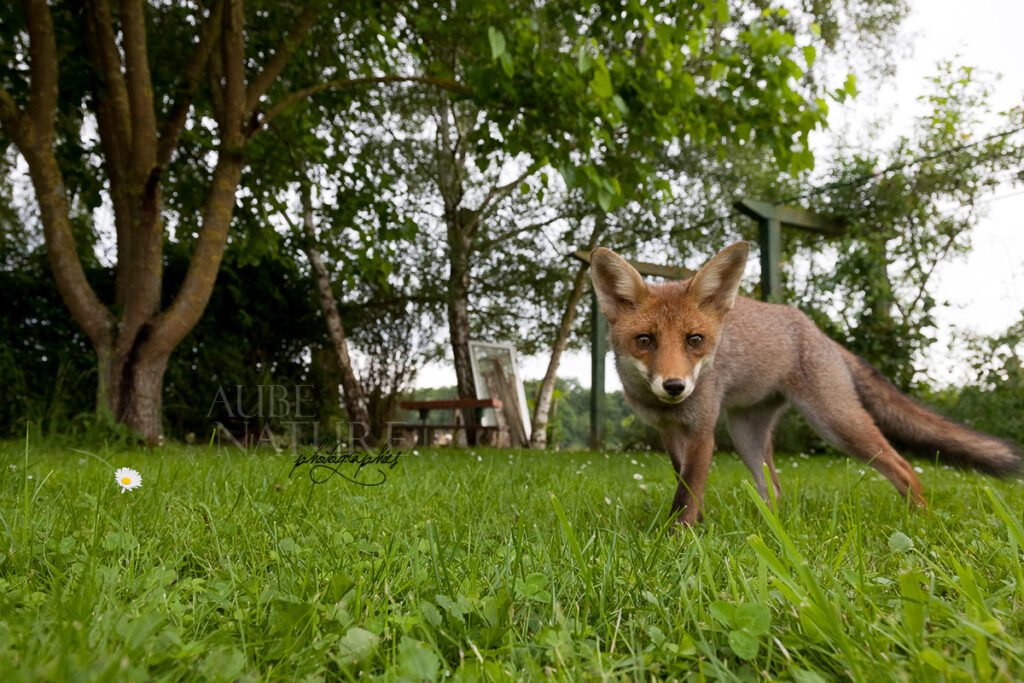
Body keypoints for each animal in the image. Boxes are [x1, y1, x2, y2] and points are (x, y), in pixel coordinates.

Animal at [590, 241, 1022, 526]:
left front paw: (679, 539)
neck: (668, 409)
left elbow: (688, 491)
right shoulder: (670, 432)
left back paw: (921, 521)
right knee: (775, 489)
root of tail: (818, 332)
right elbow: (687, 485)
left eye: (694, 340)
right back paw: (770, 530)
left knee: (903, 466)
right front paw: (698, 526)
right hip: (746, 433)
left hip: (836, 423)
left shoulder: (702, 430)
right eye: (645, 340)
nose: (675, 386)